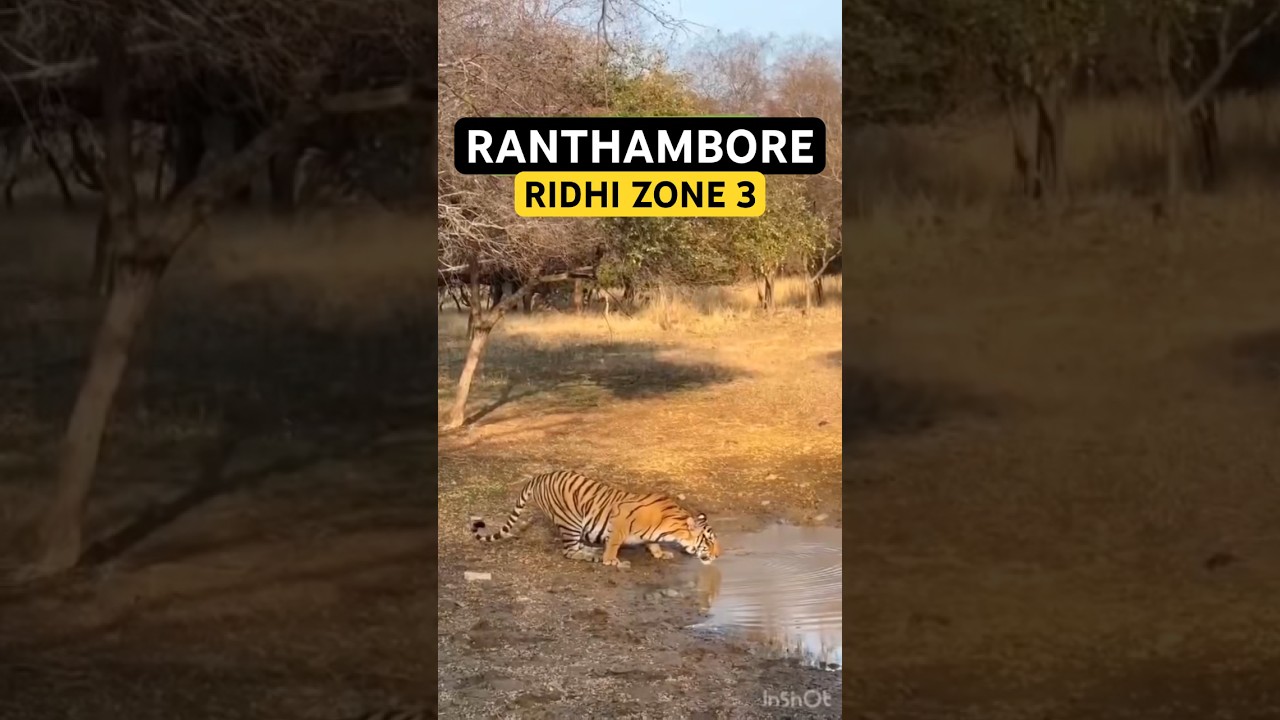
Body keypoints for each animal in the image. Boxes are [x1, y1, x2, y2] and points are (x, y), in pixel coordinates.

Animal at [469, 470, 721, 568]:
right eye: (708, 541)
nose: (719, 555)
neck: (672, 527)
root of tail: (540, 476)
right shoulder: (620, 524)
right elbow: (614, 544)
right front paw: (613, 561)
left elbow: (653, 543)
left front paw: (661, 553)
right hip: (570, 521)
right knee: (569, 551)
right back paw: (595, 556)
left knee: (577, 546)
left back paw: (593, 551)